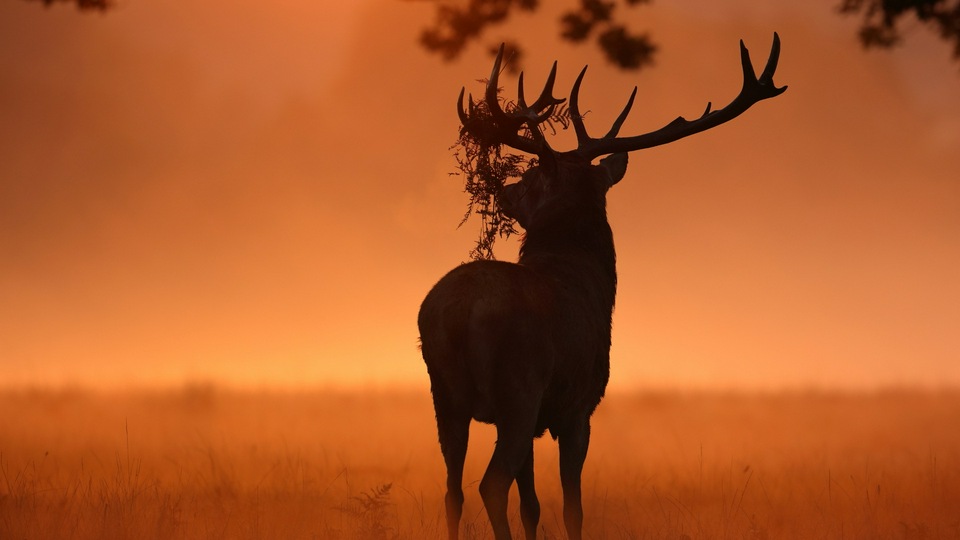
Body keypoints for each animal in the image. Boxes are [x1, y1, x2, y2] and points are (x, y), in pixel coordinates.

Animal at [420, 34, 788, 540]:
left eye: (529, 178)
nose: (505, 189)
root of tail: (458, 313)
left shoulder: (545, 415)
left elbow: (532, 505)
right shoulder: (579, 406)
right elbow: (572, 507)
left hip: (444, 397)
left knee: (452, 490)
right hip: (518, 388)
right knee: (490, 484)